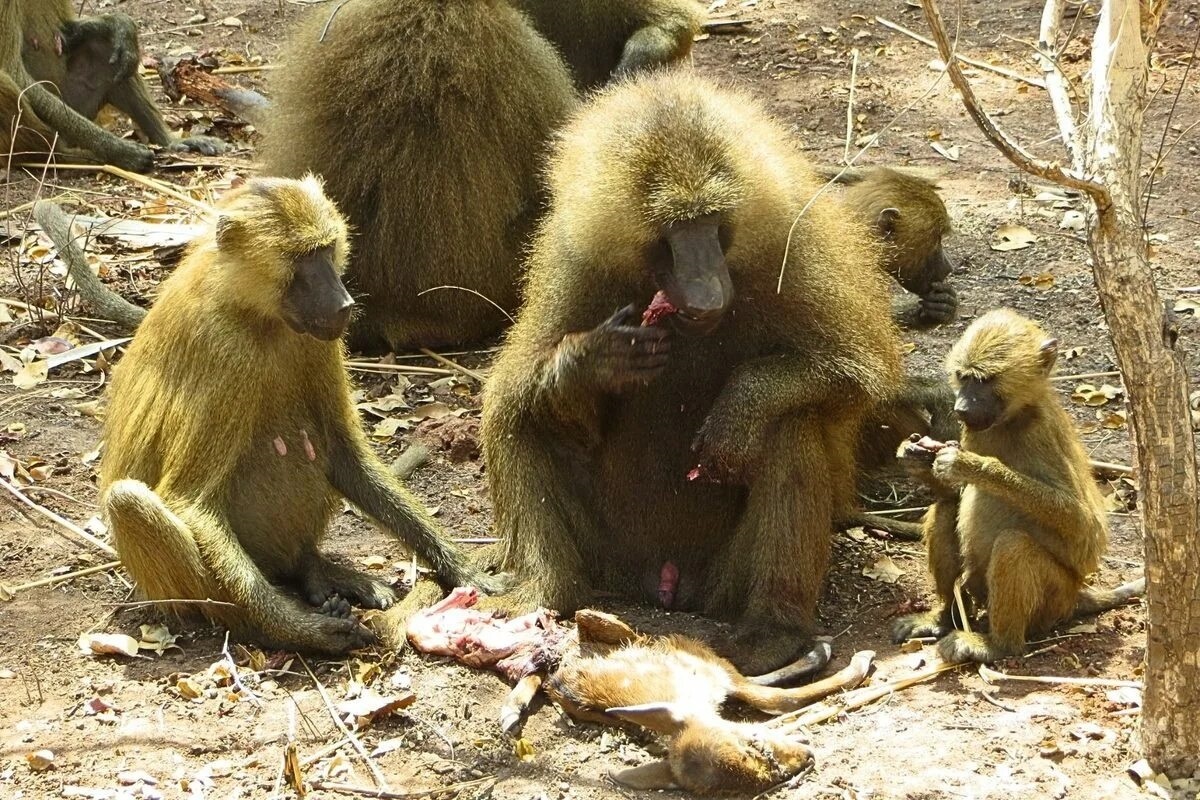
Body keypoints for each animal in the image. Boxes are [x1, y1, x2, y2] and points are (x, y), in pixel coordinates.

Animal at [1, 1, 224, 172]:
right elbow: (14, 73)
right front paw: (118, 149)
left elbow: (74, 29)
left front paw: (120, 24)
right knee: (5, 82)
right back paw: (68, 157)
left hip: (79, 103)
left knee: (108, 50)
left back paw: (170, 142)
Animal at [55, 175, 503, 655]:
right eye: (303, 259)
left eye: (327, 250)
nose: (344, 303)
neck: (251, 309)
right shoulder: (225, 348)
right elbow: (189, 500)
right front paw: (304, 630)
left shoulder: (317, 340)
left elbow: (345, 454)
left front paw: (462, 568)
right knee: (129, 502)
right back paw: (257, 625)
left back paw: (315, 572)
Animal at [473, 71, 903, 675]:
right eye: (674, 229)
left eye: (712, 223)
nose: (708, 294)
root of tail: (666, 585)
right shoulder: (572, 263)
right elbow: (522, 386)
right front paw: (589, 363)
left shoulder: (794, 246)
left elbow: (857, 375)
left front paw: (741, 406)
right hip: (610, 557)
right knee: (515, 417)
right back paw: (541, 594)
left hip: (723, 583)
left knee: (790, 425)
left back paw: (773, 631)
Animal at [891, 309, 1145, 663]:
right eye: (963, 377)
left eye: (985, 380)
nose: (960, 408)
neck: (1012, 420)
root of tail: (1076, 595)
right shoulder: (975, 430)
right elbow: (953, 495)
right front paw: (914, 456)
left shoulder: (1042, 434)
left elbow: (1085, 530)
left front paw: (972, 466)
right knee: (944, 510)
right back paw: (943, 620)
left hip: (1055, 598)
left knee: (1013, 545)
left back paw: (997, 645)